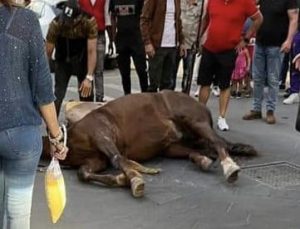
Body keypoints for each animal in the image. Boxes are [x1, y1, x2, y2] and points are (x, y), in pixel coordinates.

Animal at [42, 90, 258, 198]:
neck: (70, 138)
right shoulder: (96, 160)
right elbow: (83, 173)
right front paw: (121, 179)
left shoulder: (102, 135)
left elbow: (118, 159)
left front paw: (134, 180)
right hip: (172, 146)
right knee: (200, 150)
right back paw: (204, 160)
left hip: (195, 122)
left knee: (218, 142)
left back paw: (229, 167)